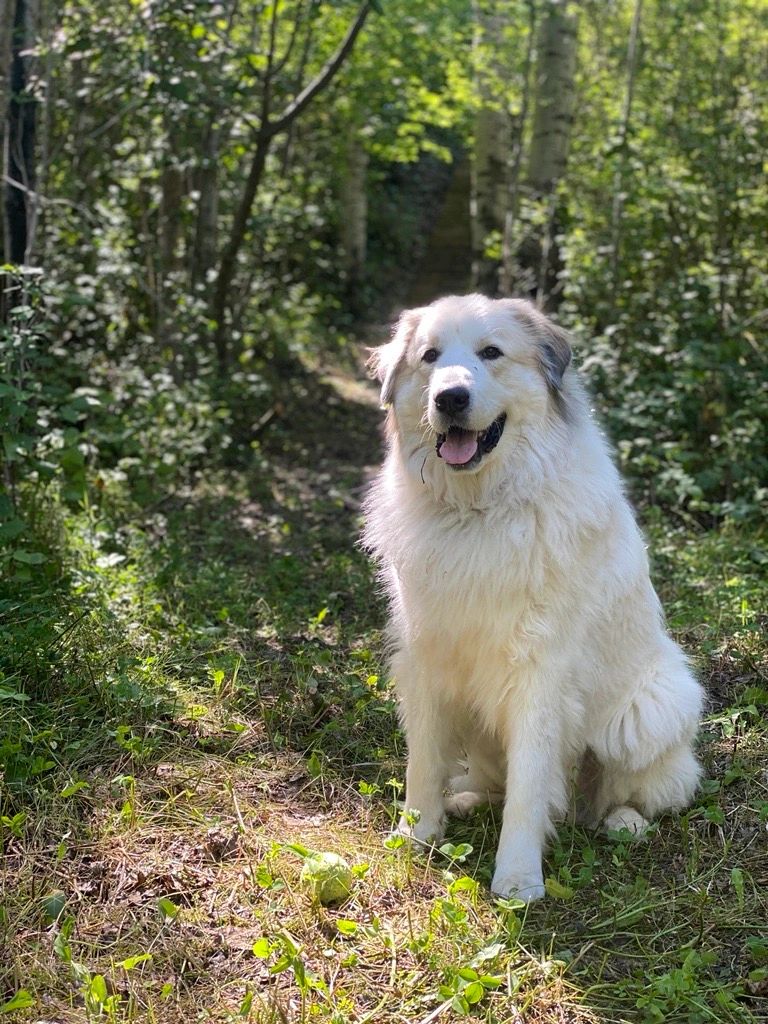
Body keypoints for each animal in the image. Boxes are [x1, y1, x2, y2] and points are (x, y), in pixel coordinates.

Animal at [364, 292, 708, 901]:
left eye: (491, 353)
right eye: (430, 357)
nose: (449, 397)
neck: (479, 511)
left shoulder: (540, 674)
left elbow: (528, 788)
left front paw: (518, 878)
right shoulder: (426, 658)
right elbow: (423, 762)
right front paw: (415, 835)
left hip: (654, 706)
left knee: (640, 793)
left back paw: (621, 820)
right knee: (496, 782)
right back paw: (466, 797)